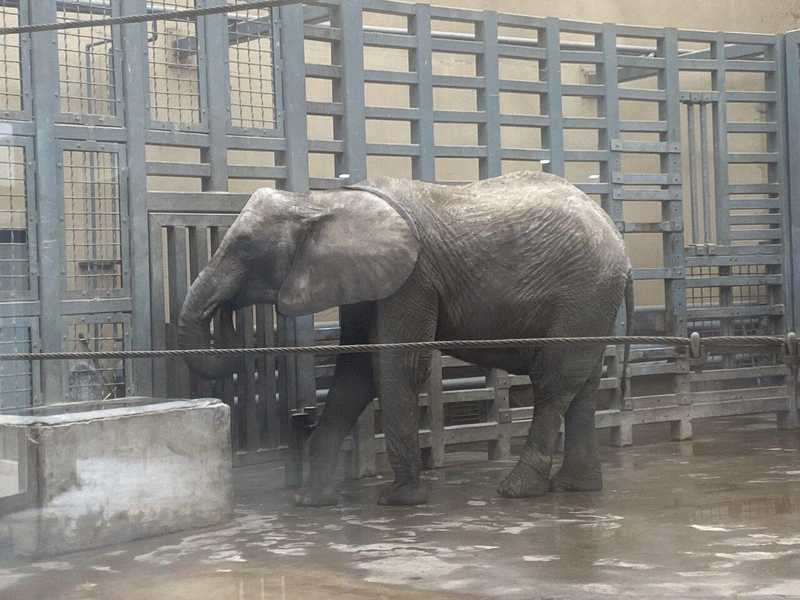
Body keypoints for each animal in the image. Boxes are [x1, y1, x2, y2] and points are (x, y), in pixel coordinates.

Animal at [178, 170, 633, 506]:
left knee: (553, 382)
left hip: (582, 292)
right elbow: (355, 372)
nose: (226, 310)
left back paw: (516, 491)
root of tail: (618, 241)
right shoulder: (366, 280)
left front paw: (399, 500)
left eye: (245, 247)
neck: (322, 201)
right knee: (583, 383)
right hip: (590, 301)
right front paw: (311, 501)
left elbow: (395, 365)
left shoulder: (412, 280)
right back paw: (577, 487)